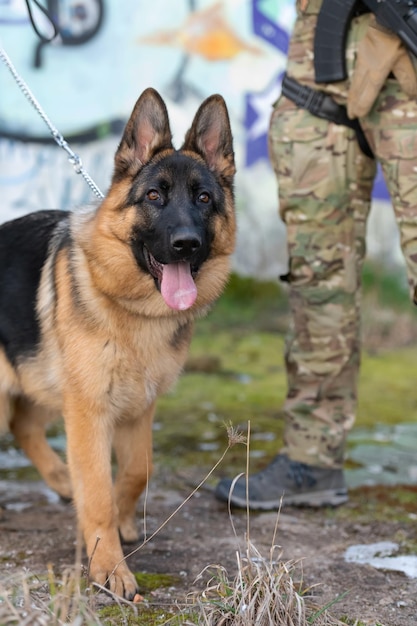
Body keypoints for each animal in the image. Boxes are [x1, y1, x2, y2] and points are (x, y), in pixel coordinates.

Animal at [0, 89, 234, 600]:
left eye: (204, 198)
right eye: (153, 196)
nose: (186, 244)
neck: (135, 310)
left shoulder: (136, 408)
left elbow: (136, 471)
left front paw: (123, 522)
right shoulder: (89, 413)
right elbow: (99, 491)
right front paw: (109, 567)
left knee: (24, 425)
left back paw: (61, 480)